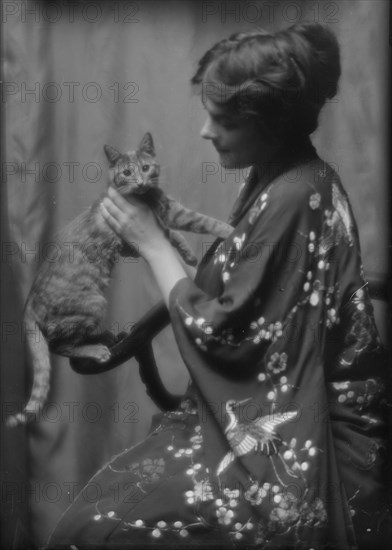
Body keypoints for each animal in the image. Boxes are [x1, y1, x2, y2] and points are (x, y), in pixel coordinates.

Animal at [6, 133, 233, 426]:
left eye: (145, 168)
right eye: (127, 172)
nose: (141, 181)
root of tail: (29, 303)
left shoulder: (142, 236)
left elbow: (171, 235)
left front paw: (188, 254)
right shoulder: (171, 213)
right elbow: (204, 222)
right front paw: (230, 229)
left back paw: (104, 336)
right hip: (94, 303)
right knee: (59, 344)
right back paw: (95, 350)